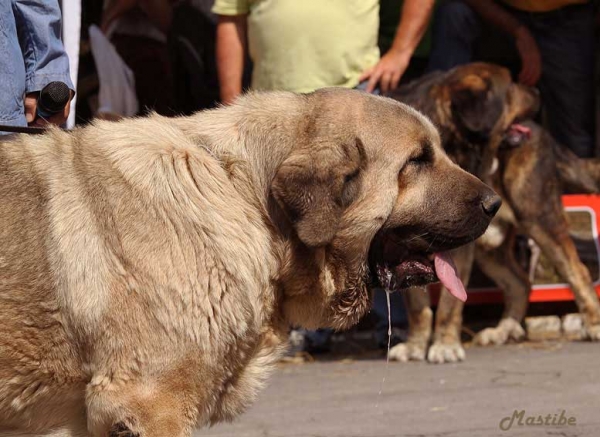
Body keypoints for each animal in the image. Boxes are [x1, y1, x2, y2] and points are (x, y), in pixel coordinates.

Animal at [384, 62, 600, 362]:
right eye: (509, 88)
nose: (536, 91)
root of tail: (543, 133)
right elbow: (417, 303)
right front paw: (416, 345)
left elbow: (450, 300)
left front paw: (445, 344)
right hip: (490, 245)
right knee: (520, 283)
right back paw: (503, 330)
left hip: (538, 219)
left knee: (576, 271)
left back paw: (593, 324)